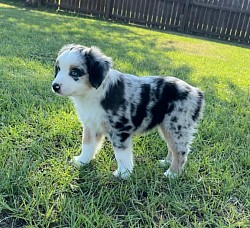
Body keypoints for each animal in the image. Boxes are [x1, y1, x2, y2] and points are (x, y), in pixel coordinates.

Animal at [51, 44, 204, 179]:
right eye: (58, 69)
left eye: (75, 72)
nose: (55, 86)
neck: (92, 94)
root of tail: (197, 92)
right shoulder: (91, 125)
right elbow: (87, 145)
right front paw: (81, 162)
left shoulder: (120, 130)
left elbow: (121, 155)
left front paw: (123, 174)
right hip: (167, 127)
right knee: (172, 148)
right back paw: (165, 163)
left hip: (176, 126)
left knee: (181, 151)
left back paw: (172, 173)